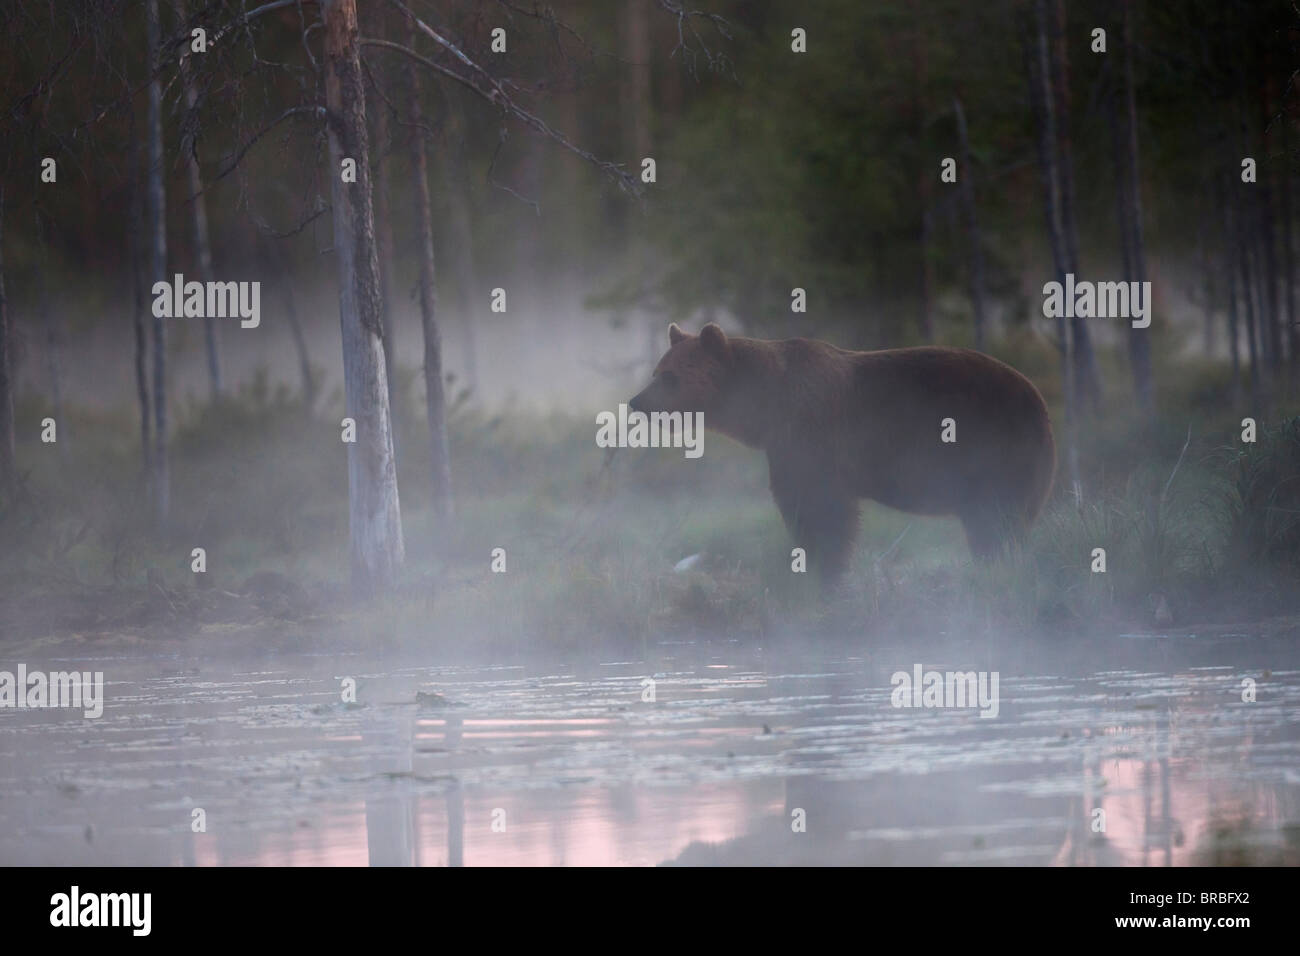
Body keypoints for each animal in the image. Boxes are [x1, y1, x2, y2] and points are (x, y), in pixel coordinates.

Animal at [629, 323, 1055, 582]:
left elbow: (820, 508)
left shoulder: (810, 435)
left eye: (670, 377)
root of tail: (1038, 397)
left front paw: (822, 568)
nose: (637, 402)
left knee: (997, 519)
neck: (764, 406)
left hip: (994, 449)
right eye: (656, 372)